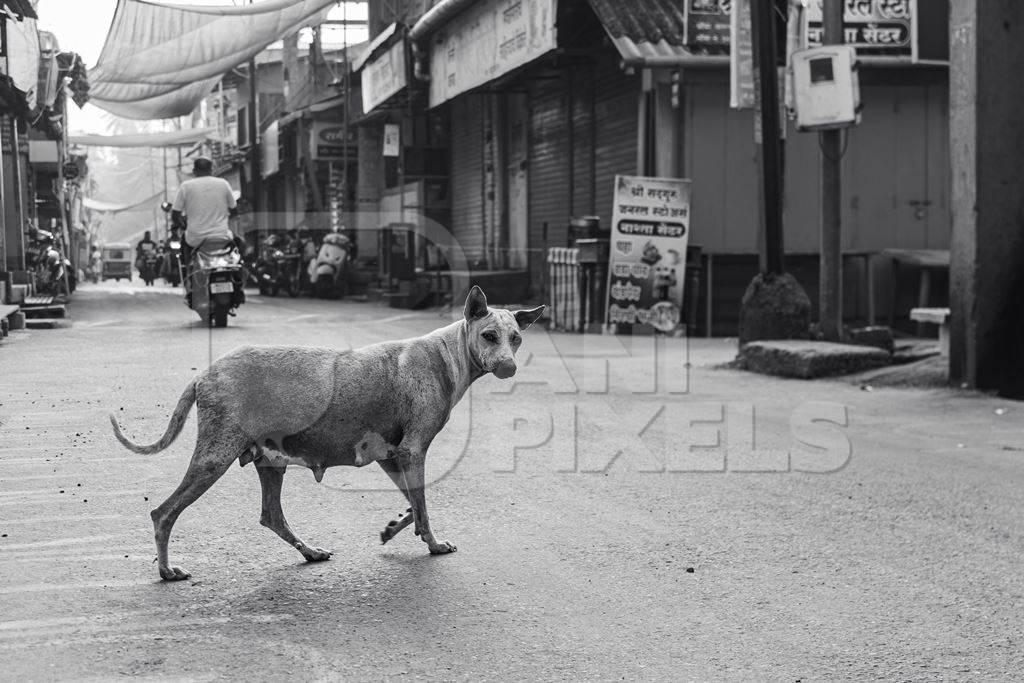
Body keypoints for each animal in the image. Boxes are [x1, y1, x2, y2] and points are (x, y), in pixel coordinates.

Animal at [112, 286, 544, 581]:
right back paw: (167, 570)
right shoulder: (412, 450)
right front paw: (432, 543)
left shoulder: (393, 455)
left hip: (269, 461)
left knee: (271, 516)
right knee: (163, 512)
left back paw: (309, 551)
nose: (508, 366)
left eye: (516, 338)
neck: (447, 355)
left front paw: (396, 526)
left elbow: (414, 502)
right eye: (489, 335)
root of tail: (206, 373)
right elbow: (422, 503)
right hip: (214, 457)